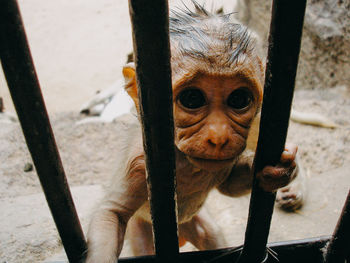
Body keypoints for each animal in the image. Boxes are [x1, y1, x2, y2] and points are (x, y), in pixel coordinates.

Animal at [85, 2, 304, 263]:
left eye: (239, 99)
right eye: (192, 99)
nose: (219, 137)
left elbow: (229, 185)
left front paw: (280, 171)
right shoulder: (137, 165)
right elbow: (112, 213)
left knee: (210, 234)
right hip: (141, 228)